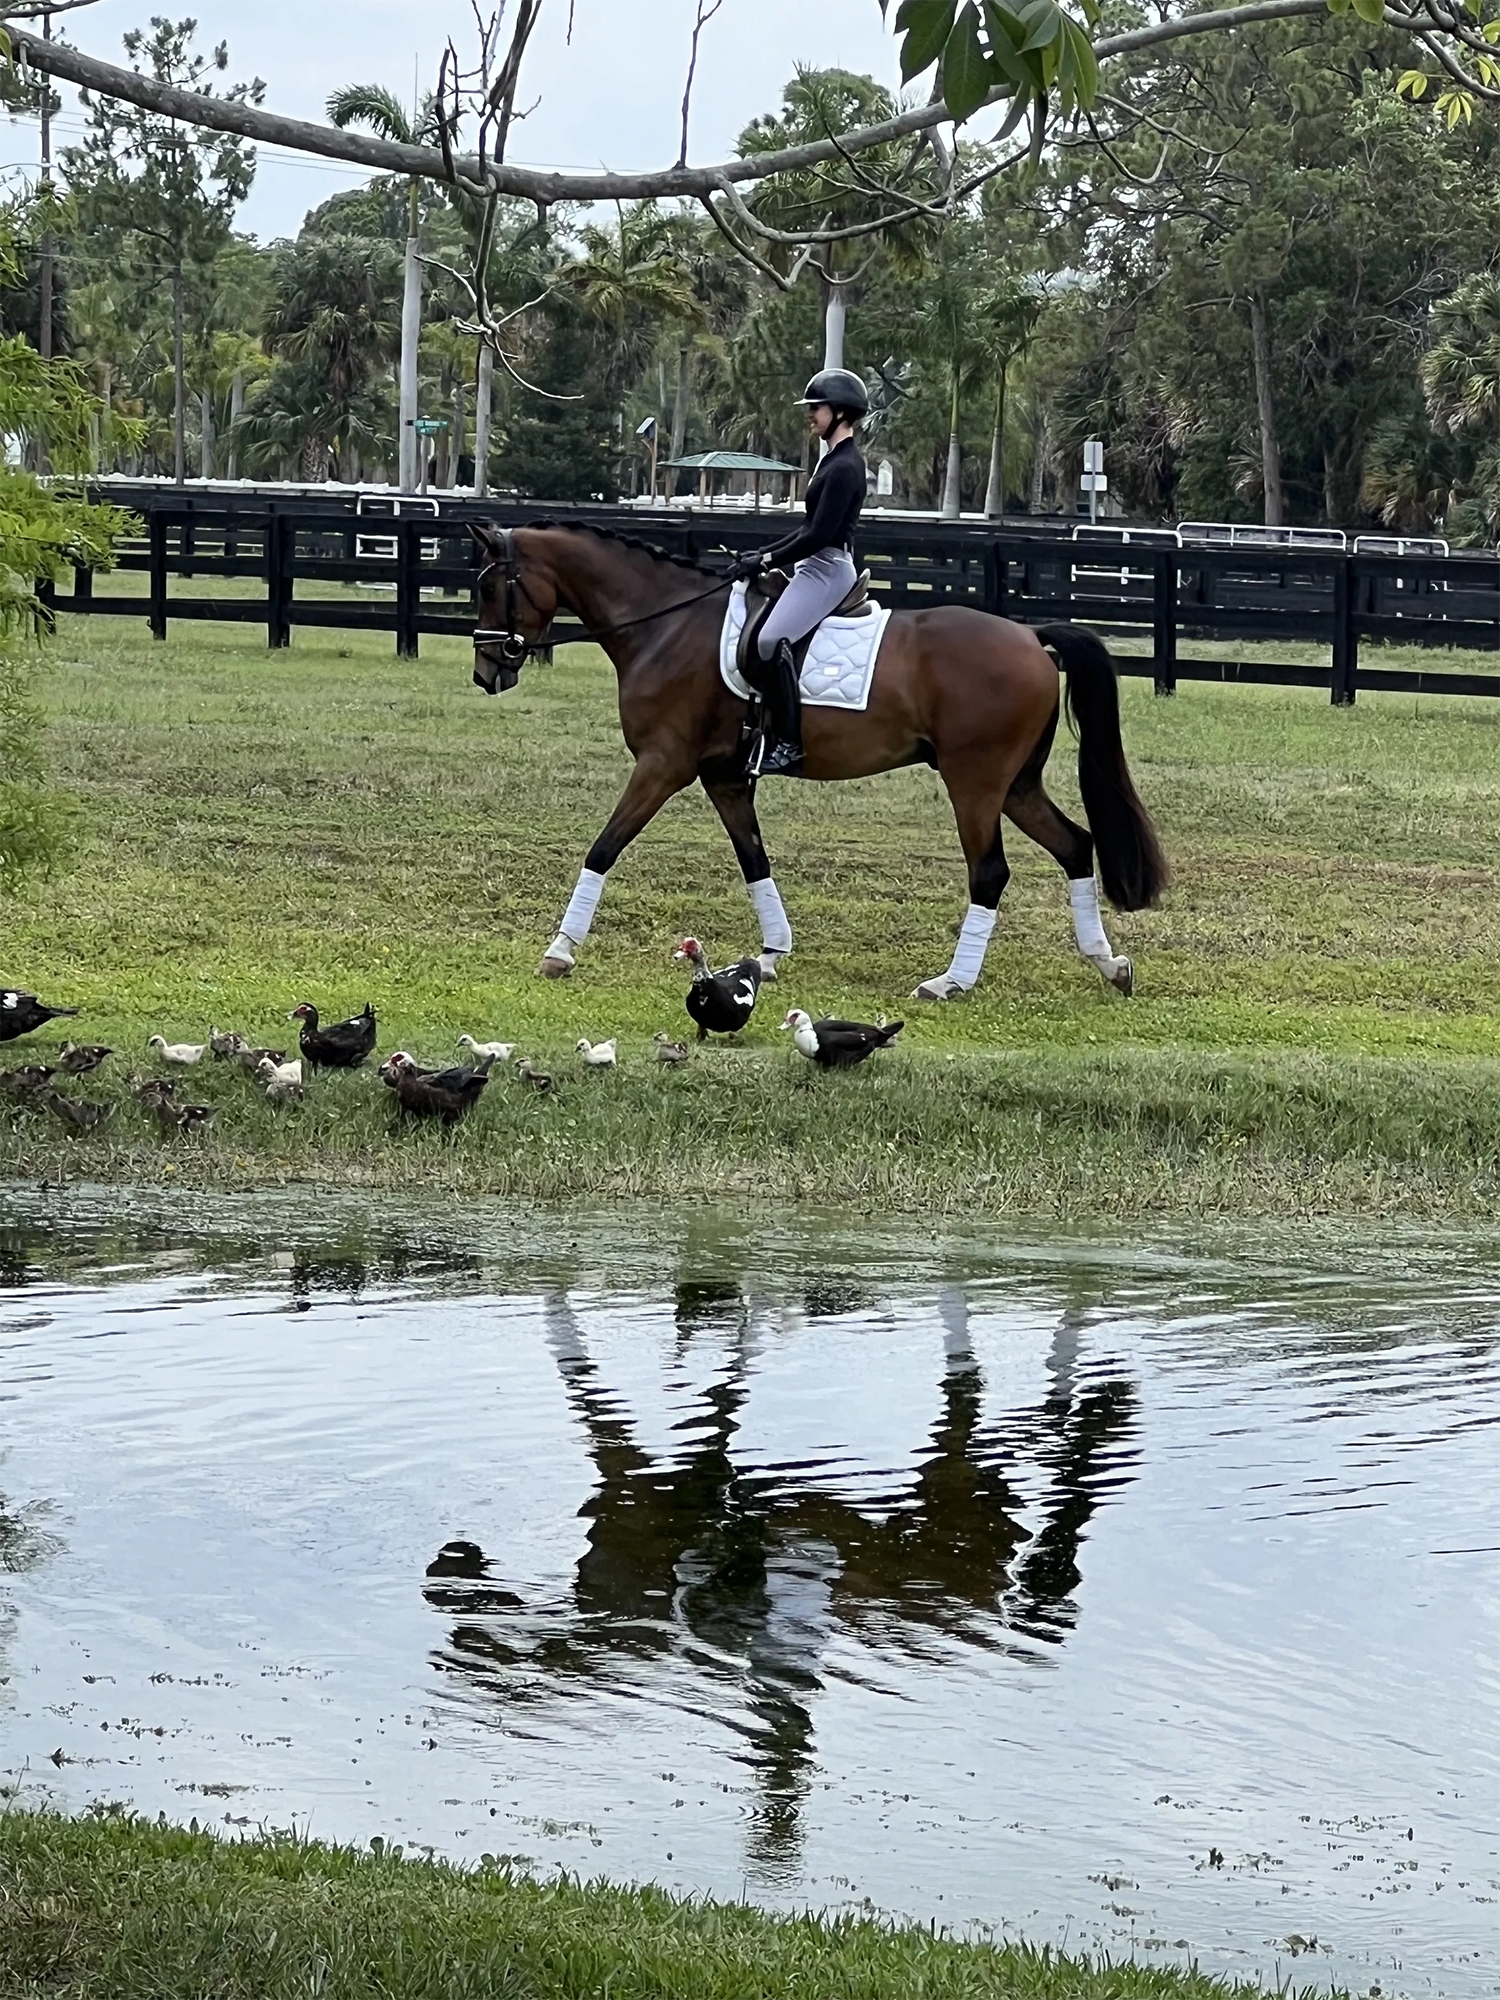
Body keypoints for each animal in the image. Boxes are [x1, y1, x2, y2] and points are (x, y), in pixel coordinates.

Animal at [471, 521, 1167, 1000]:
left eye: (491, 587)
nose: (486, 673)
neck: (665, 627)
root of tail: (1029, 635)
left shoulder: (663, 766)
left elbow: (603, 849)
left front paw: (560, 951)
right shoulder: (724, 778)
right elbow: (754, 861)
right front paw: (771, 954)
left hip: (975, 782)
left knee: (991, 873)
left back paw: (950, 982)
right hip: (1016, 784)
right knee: (1075, 845)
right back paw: (1109, 964)